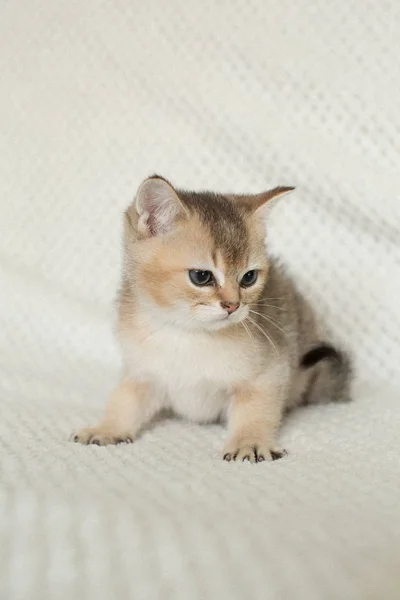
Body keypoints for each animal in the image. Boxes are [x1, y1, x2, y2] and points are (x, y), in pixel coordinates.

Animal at [72, 176, 350, 462]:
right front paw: (108, 428)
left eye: (249, 277)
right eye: (201, 276)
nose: (233, 305)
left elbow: (255, 410)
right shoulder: (142, 371)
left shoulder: (270, 372)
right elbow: (125, 400)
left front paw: (249, 441)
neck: (189, 335)